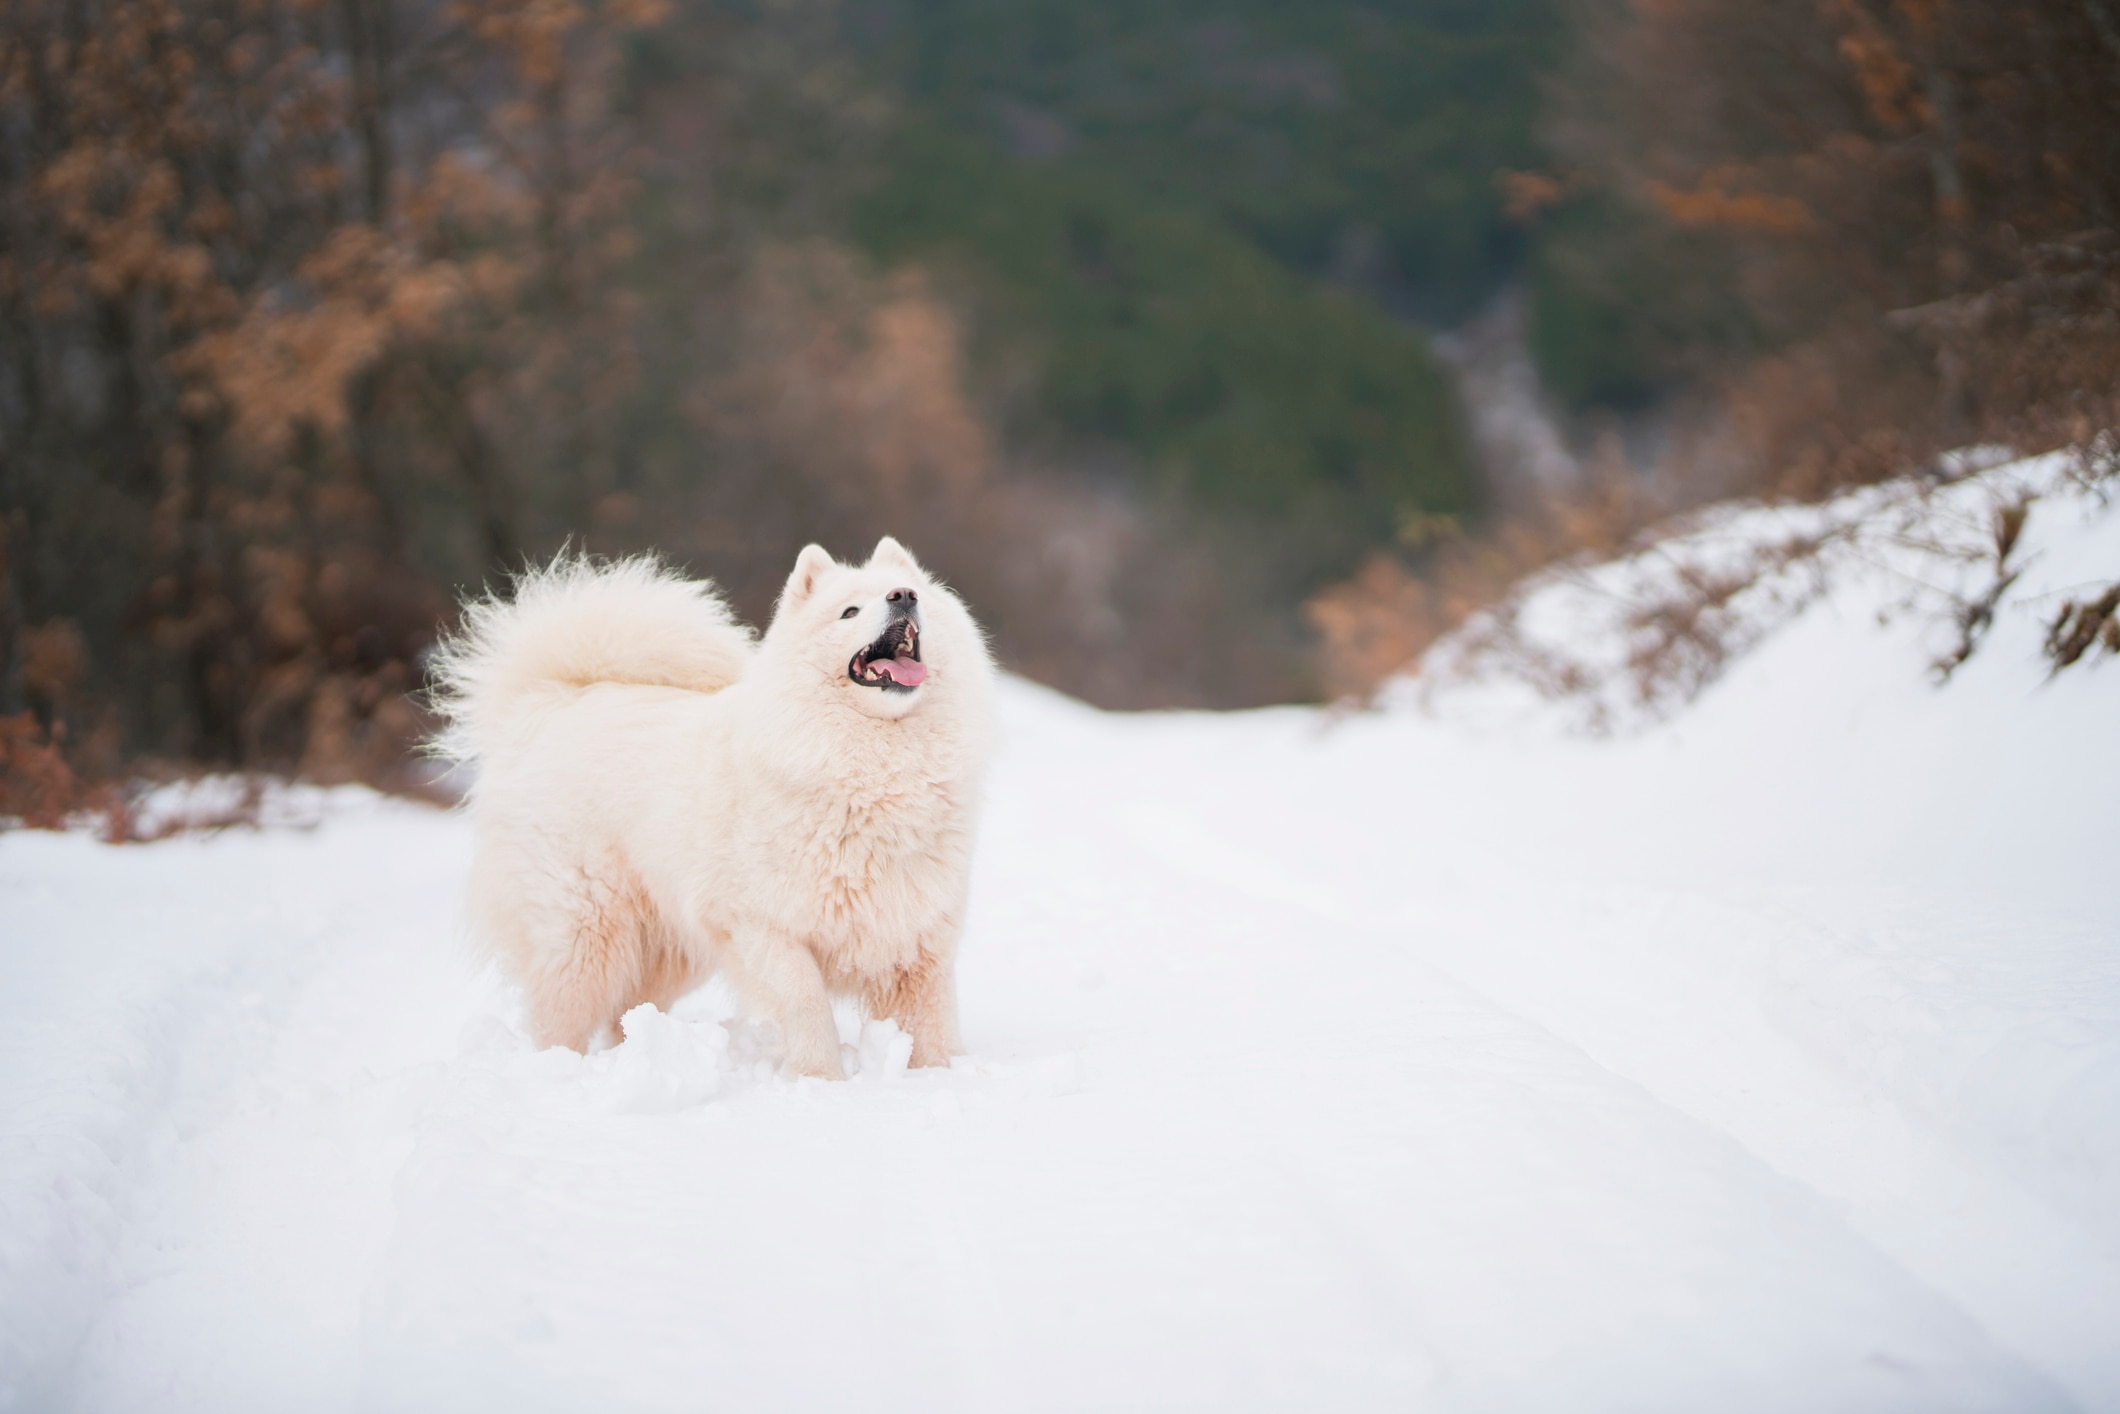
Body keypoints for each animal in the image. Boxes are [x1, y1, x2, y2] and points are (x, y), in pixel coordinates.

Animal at [432, 536, 1000, 1076]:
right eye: (849, 612)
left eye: (915, 594)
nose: (903, 596)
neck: (874, 770)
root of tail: (549, 705)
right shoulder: (759, 926)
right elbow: (806, 1000)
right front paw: (821, 1080)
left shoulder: (919, 941)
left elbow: (933, 1028)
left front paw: (942, 1076)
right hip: (585, 938)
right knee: (560, 1022)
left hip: (668, 950)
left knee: (627, 1014)